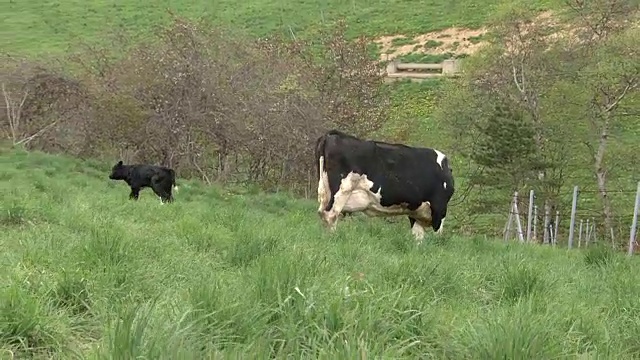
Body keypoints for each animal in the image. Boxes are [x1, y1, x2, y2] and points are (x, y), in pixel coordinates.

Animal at [316, 129, 456, 242]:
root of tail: (332, 135)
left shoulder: (415, 211)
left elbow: (418, 237)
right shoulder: (439, 207)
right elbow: (437, 236)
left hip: (325, 190)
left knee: (322, 213)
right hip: (343, 189)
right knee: (331, 214)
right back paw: (333, 238)